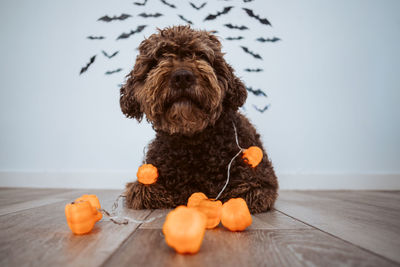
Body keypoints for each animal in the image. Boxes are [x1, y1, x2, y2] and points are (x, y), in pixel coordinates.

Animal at [121, 25, 278, 214]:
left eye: (201, 55)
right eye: (159, 57)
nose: (182, 76)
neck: (192, 141)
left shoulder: (259, 184)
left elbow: (242, 193)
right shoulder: (143, 187)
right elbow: (145, 191)